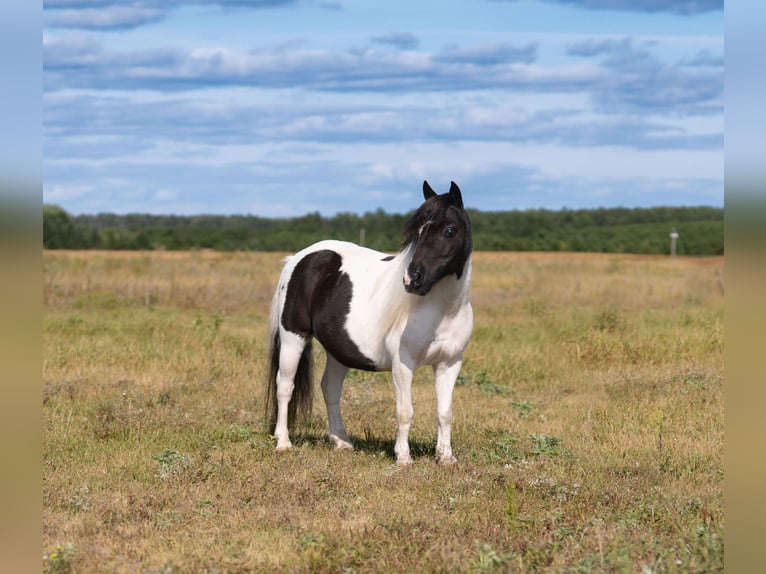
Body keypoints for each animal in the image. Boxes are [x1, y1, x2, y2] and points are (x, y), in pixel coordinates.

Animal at [264, 181, 473, 466]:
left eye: (449, 230)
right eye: (417, 233)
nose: (412, 279)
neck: (442, 310)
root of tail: (299, 259)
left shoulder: (450, 363)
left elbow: (444, 412)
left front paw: (446, 458)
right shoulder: (403, 363)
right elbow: (405, 411)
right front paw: (403, 458)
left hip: (338, 350)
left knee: (330, 388)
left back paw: (341, 442)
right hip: (292, 337)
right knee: (285, 386)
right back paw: (284, 443)